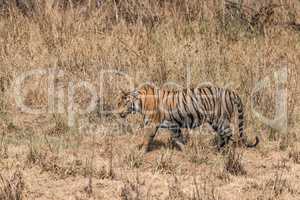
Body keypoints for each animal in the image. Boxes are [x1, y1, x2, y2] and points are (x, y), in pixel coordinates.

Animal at [116, 83, 258, 152]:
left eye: (124, 103)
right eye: (117, 103)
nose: (118, 113)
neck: (139, 103)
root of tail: (230, 91)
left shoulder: (151, 124)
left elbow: (146, 139)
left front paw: (141, 152)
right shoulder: (173, 126)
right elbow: (179, 139)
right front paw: (186, 150)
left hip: (220, 120)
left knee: (228, 135)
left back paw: (223, 152)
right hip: (216, 122)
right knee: (223, 136)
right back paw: (216, 149)